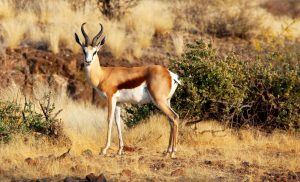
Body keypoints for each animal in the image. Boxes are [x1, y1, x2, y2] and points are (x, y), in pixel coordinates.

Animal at [74, 22, 180, 157]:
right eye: (84, 50)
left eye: (95, 52)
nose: (88, 61)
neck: (103, 75)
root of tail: (170, 74)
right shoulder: (119, 103)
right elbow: (118, 122)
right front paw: (119, 150)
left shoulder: (110, 99)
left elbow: (109, 120)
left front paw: (104, 149)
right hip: (166, 101)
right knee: (170, 120)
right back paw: (167, 151)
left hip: (159, 101)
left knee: (175, 117)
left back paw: (173, 152)